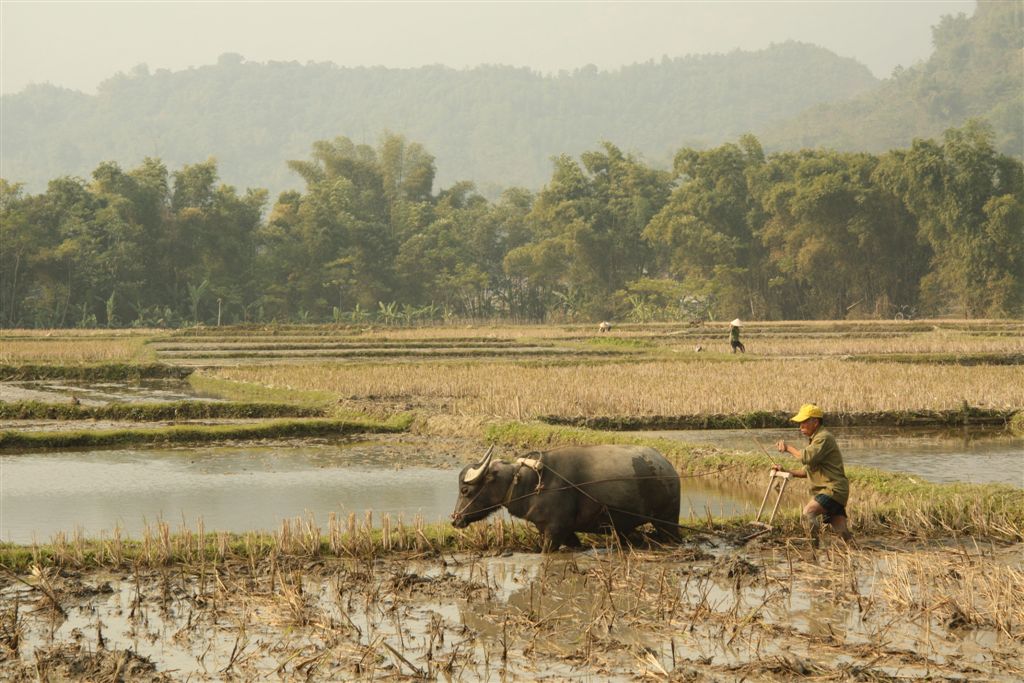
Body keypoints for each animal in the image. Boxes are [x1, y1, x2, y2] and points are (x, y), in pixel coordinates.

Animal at [450, 446, 679, 552]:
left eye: (465, 490)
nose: (455, 519)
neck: (531, 483)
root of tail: (667, 466)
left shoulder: (555, 530)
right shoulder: (561, 531)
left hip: (667, 521)